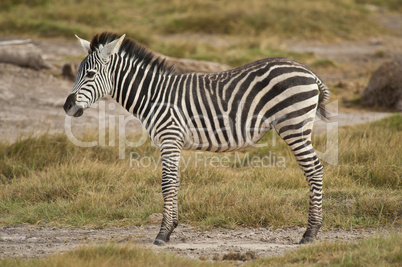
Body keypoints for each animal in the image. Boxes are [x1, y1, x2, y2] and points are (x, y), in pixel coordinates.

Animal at [63, 32, 330, 246]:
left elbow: (167, 183)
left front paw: (163, 234)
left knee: (314, 169)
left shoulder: (169, 137)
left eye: (90, 74)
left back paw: (310, 232)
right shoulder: (173, 142)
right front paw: (171, 228)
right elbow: (175, 182)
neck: (153, 95)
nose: (67, 106)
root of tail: (308, 71)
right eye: (78, 73)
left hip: (294, 126)